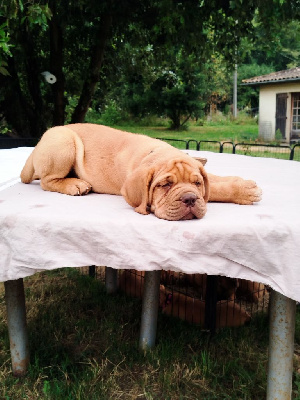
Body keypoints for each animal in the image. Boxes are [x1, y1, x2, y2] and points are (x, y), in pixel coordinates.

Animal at [19, 122, 262, 220]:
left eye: (197, 184)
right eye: (165, 185)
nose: (190, 199)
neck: (157, 152)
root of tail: (37, 147)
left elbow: (216, 182)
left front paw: (244, 189)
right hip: (64, 141)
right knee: (48, 180)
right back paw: (75, 184)